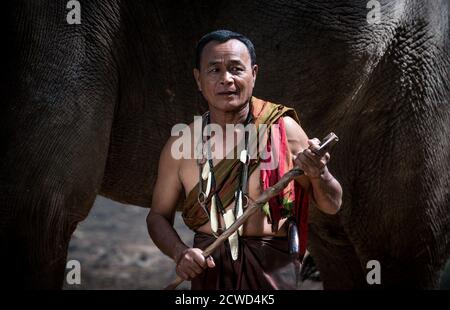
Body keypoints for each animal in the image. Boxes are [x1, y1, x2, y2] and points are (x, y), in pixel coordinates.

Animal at [0, 0, 448, 290]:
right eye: (216, 69)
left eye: (236, 68)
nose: (229, 82)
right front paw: (191, 263)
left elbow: (42, 207)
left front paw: (313, 159)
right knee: (340, 247)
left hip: (416, 70)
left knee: (400, 244)